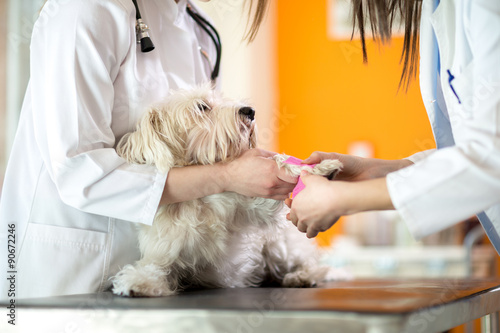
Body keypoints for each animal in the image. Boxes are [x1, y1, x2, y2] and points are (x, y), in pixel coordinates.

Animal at [110, 85, 344, 296]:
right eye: (202, 106)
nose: (250, 111)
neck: (200, 201)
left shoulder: (256, 208)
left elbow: (281, 163)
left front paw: (320, 167)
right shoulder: (164, 251)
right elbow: (155, 267)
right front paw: (138, 282)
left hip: (281, 247)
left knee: (311, 265)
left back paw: (301, 276)